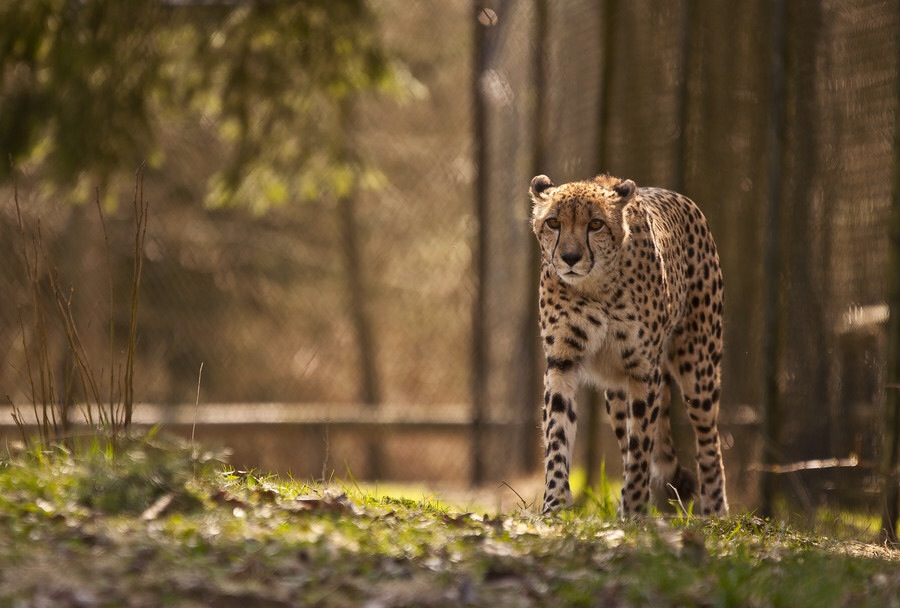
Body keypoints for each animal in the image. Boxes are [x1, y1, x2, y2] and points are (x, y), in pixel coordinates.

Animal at [530, 172, 728, 517]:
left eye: (595, 224)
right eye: (553, 222)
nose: (570, 258)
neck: (595, 286)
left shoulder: (643, 370)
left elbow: (641, 449)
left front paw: (634, 510)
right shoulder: (562, 361)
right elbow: (558, 434)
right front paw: (554, 505)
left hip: (698, 367)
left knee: (708, 440)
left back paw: (714, 511)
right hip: (616, 394)